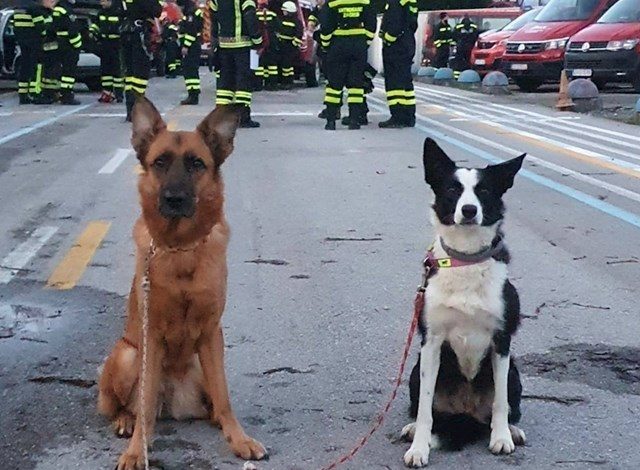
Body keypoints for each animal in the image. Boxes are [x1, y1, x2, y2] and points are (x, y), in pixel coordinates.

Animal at [97, 98, 267, 470]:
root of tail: (174, 405)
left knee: (214, 401)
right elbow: (144, 403)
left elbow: (225, 397)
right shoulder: (152, 336)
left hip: (203, 362)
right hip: (127, 354)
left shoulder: (212, 332)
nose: (174, 199)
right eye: (159, 162)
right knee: (128, 407)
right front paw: (137, 451)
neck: (180, 248)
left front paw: (239, 438)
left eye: (196, 164)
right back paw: (126, 421)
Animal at [402, 138, 526, 467]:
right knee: (423, 408)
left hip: (515, 372)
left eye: (484, 191)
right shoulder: (431, 343)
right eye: (452, 189)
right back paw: (411, 428)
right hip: (414, 371)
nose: (469, 210)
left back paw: (512, 430)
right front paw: (419, 447)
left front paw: (502, 438)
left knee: (508, 406)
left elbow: (500, 403)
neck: (466, 260)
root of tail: (466, 411)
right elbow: (425, 410)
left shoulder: (501, 341)